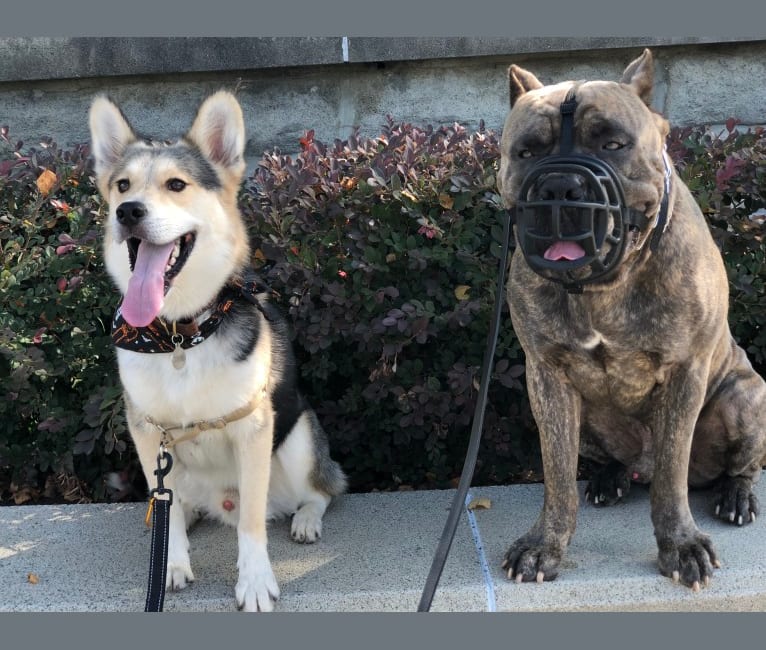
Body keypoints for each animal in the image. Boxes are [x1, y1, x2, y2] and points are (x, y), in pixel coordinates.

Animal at [498, 48, 766, 588]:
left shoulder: (685, 375)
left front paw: (681, 546)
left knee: (738, 465)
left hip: (745, 397)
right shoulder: (547, 378)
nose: (560, 185)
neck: (601, 288)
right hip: (587, 418)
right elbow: (558, 476)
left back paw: (736, 495)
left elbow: (671, 478)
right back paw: (610, 478)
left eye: (614, 144)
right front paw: (544, 545)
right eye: (527, 152)